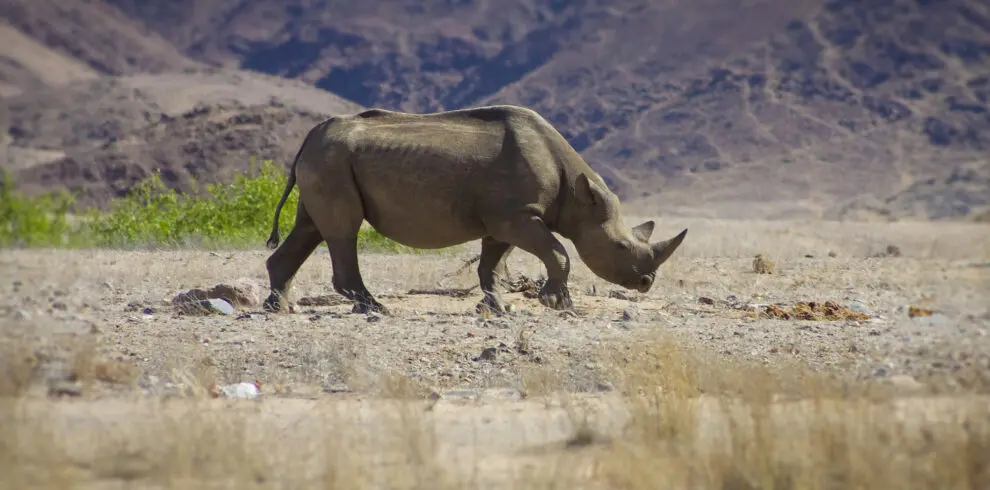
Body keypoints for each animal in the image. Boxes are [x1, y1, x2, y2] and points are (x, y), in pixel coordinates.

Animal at [263, 105, 687, 315]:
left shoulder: (505, 218)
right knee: (342, 230)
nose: (646, 283)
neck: (577, 194)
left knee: (310, 227)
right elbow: (558, 253)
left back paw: (278, 308)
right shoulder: (517, 215)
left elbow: (492, 263)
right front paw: (557, 305)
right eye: (620, 248)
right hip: (332, 160)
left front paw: (496, 306)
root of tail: (309, 137)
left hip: (327, 159)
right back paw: (376, 309)